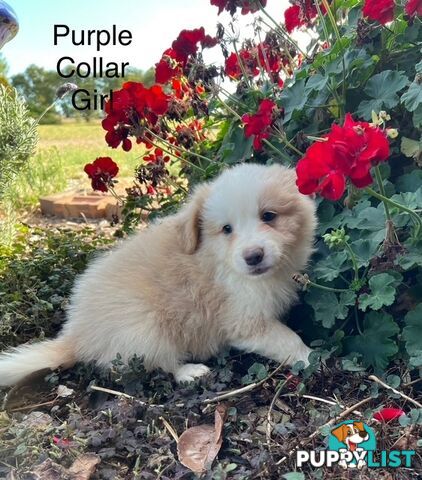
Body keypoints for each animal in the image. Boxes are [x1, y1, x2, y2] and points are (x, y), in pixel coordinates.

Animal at [0, 163, 316, 384]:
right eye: (226, 229)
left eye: (269, 216)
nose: (253, 256)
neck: (218, 260)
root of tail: (76, 335)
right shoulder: (246, 322)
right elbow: (286, 338)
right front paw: (310, 356)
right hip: (146, 327)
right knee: (159, 362)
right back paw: (190, 371)